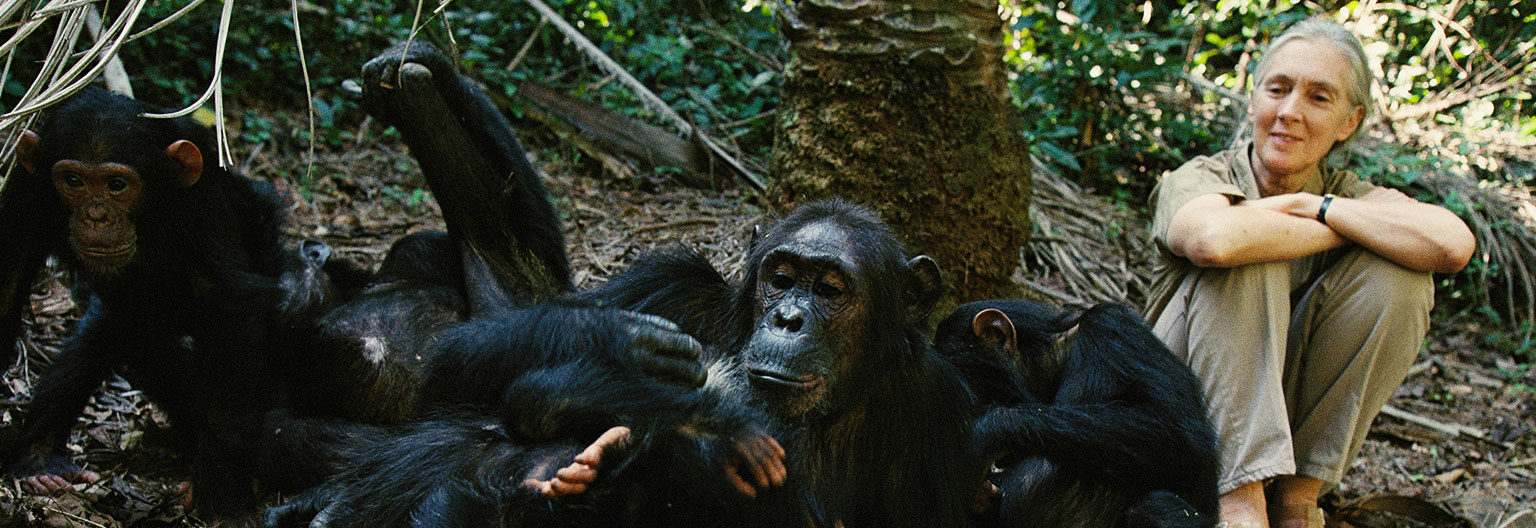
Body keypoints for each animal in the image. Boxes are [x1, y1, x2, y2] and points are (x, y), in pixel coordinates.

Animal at [0, 86, 291, 515]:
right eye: (73, 180)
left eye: (117, 185)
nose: (96, 215)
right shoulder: (26, 185)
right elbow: (7, 283)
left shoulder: (197, 198)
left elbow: (230, 308)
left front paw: (220, 492)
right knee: (114, 340)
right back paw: (40, 457)